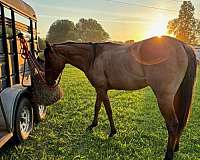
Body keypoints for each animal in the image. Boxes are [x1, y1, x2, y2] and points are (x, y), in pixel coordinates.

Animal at [44, 36, 197, 160]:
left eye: (48, 60)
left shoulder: (102, 90)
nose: (49, 82)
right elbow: (97, 107)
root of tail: (182, 45)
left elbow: (108, 110)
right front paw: (93, 125)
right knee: (181, 121)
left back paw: (168, 155)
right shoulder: (100, 89)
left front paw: (112, 131)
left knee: (173, 124)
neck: (93, 57)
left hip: (164, 98)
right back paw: (175, 147)